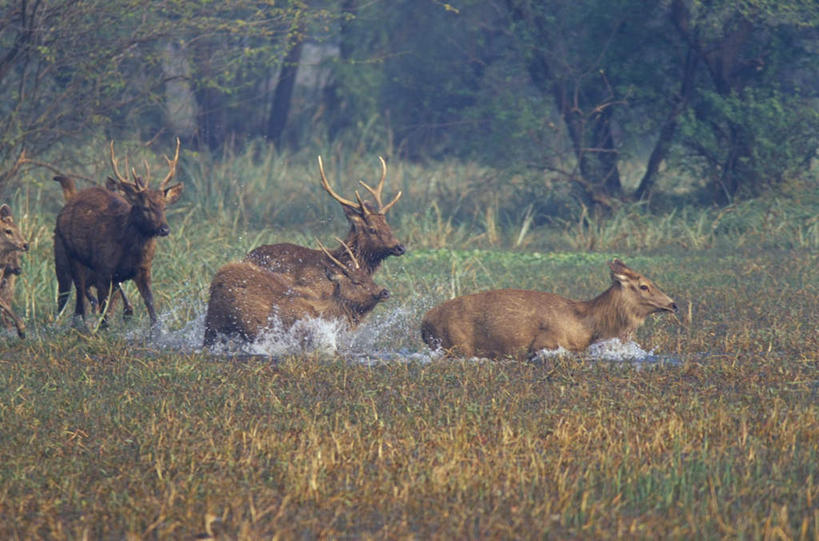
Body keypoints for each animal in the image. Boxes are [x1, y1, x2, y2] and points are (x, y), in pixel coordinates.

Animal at [203, 239, 390, 346]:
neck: (326, 313)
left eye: (369, 277)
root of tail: (218, 274)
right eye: (356, 281)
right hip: (214, 322)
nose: (385, 292)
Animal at [422, 260, 680, 360]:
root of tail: (423, 323)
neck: (587, 326)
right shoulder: (546, 344)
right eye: (644, 286)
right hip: (456, 344)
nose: (672, 304)